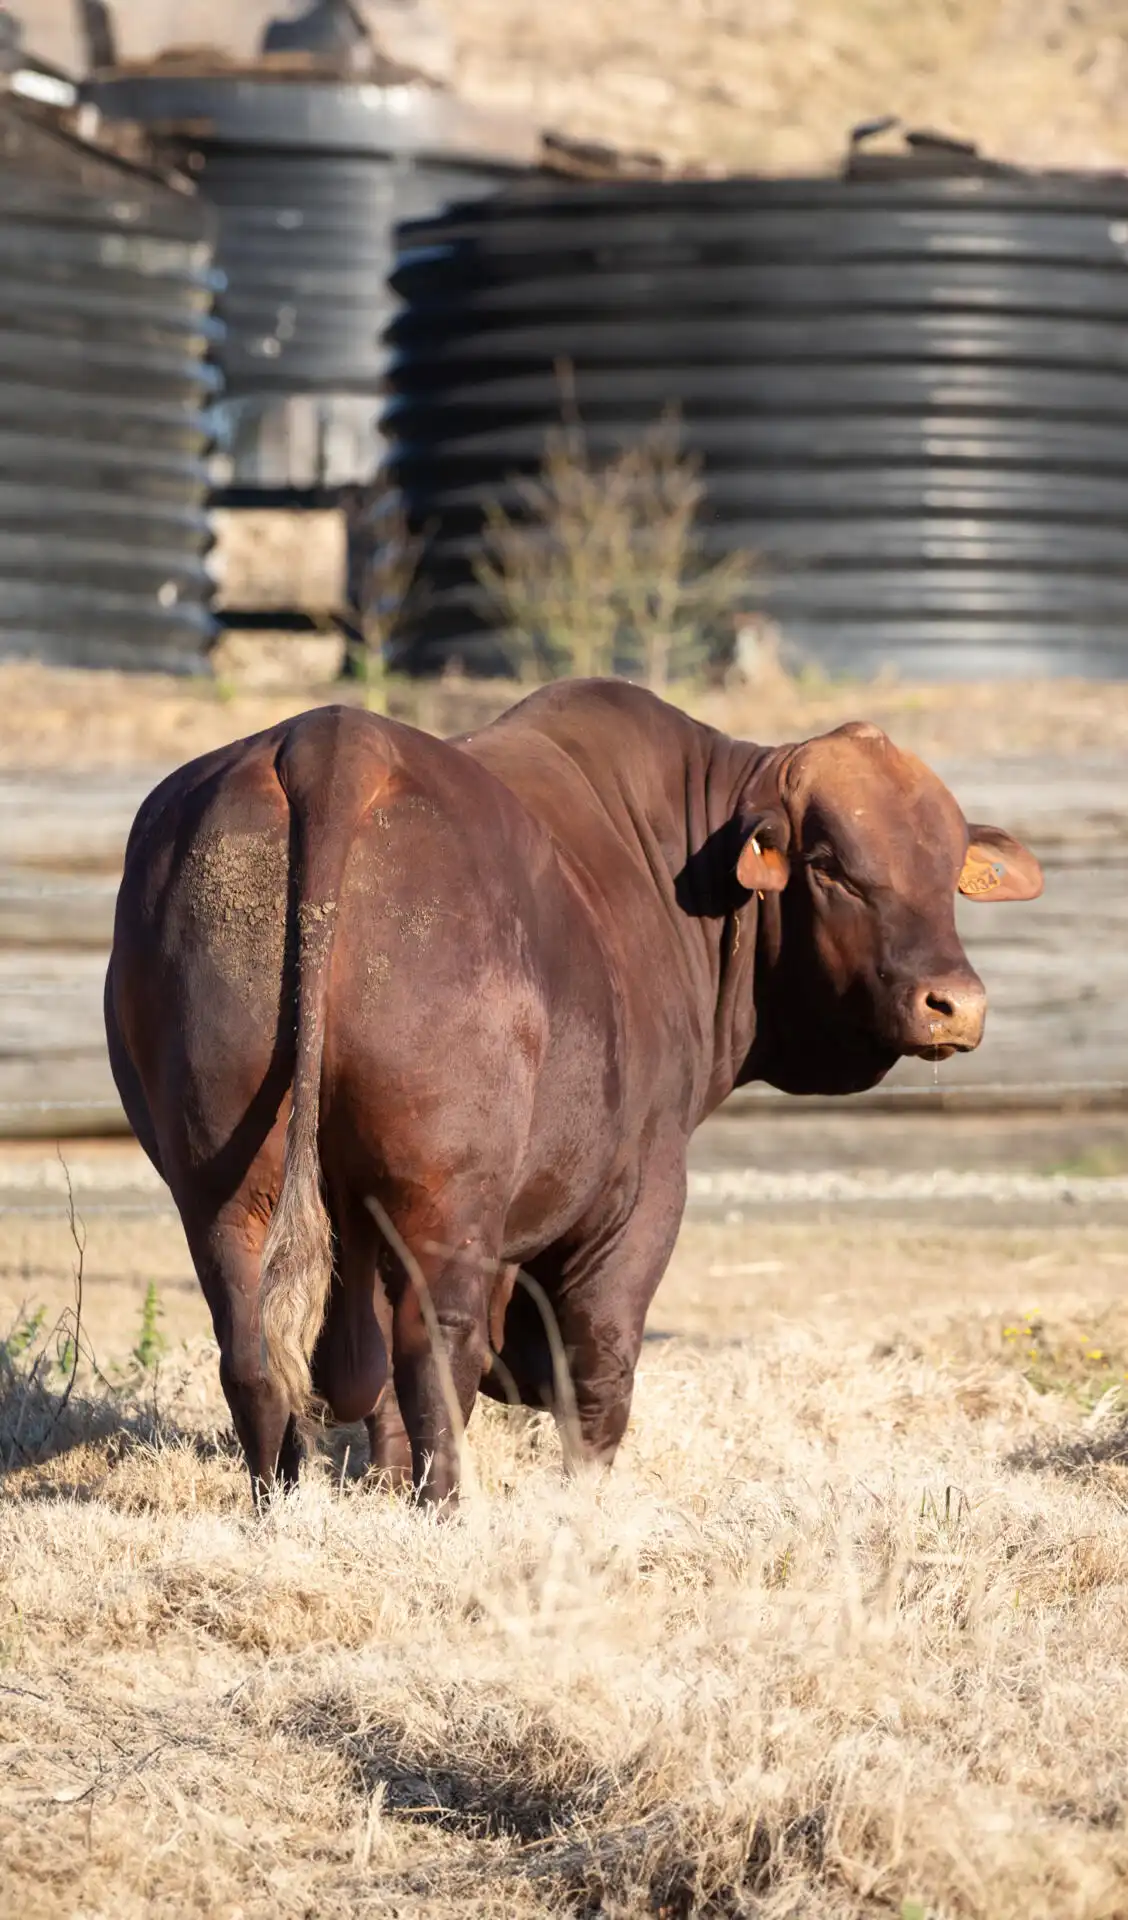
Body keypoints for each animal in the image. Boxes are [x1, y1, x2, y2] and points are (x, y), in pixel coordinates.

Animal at [104, 678, 1043, 1505]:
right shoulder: (642, 1188)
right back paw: (449, 1507)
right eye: (829, 867)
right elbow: (599, 1361)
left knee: (257, 1349)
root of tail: (330, 740)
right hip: (444, 1190)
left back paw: (279, 1508)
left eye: (949, 870)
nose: (954, 1003)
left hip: (227, 1186)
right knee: (433, 1346)